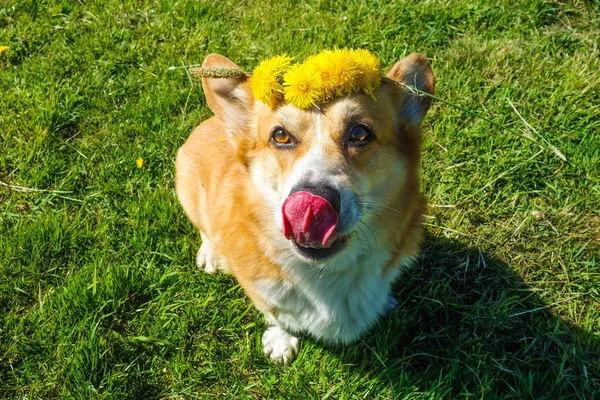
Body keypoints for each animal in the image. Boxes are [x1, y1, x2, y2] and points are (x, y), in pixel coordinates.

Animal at [176, 51, 434, 364]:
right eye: (280, 136)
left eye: (360, 133)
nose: (313, 202)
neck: (325, 272)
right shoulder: (261, 289)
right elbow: (275, 313)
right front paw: (280, 340)